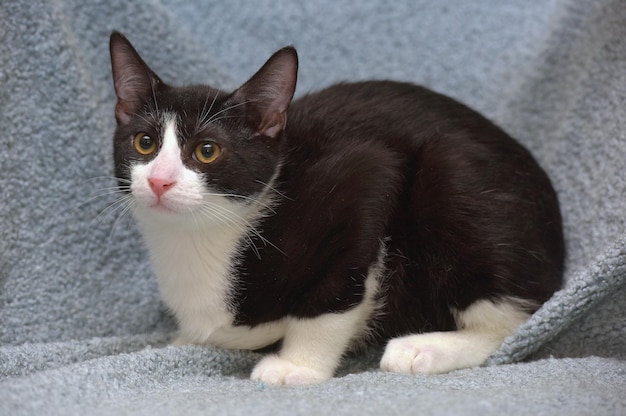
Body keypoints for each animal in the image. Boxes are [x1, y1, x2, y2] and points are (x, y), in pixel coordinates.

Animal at [109, 32, 564, 386]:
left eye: (207, 151)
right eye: (145, 143)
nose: (160, 180)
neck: (199, 238)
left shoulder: (365, 175)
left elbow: (332, 296)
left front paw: (298, 365)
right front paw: (180, 342)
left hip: (452, 177)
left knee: (515, 321)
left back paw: (426, 347)